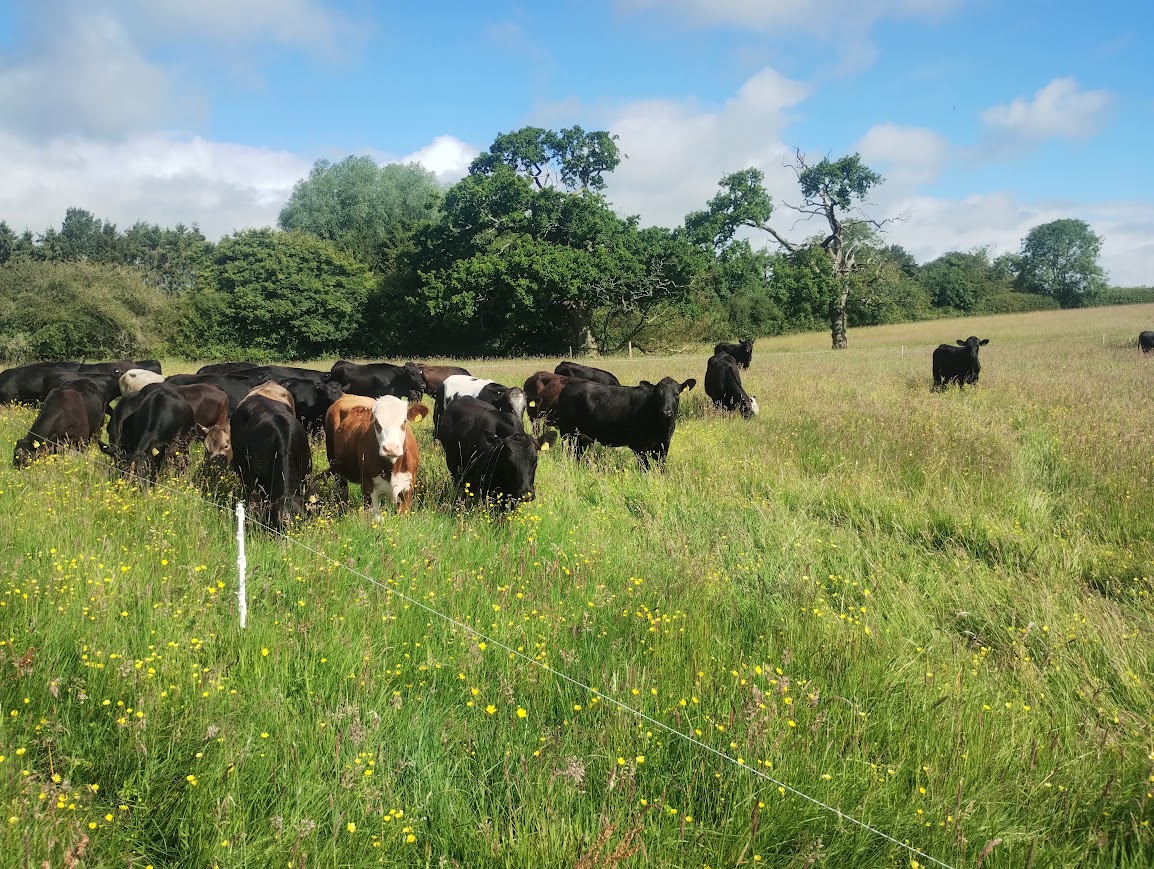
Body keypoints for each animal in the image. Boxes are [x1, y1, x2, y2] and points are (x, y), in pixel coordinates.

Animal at [551, 376, 697, 468]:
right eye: (658, 395)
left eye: (676, 394)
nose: (666, 412)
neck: (661, 428)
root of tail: (570, 385)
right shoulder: (638, 446)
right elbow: (645, 468)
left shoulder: (664, 445)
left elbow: (661, 468)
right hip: (567, 433)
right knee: (569, 452)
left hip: (582, 437)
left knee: (578, 455)